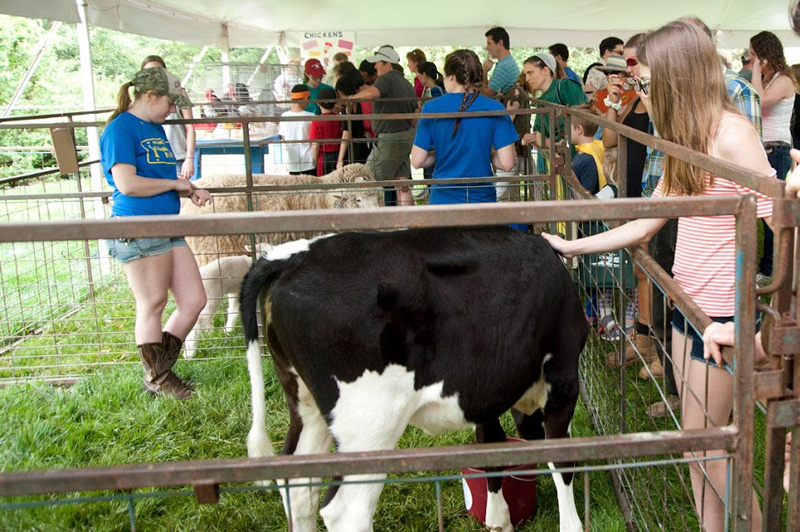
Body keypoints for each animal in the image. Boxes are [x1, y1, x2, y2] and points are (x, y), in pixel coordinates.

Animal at [239, 227, 588, 532]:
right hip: (369, 426)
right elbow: (562, 461)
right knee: (345, 511)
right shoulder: (564, 378)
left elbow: (491, 446)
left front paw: (498, 519)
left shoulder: (487, 390)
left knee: (298, 485)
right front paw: (571, 525)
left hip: (305, 403)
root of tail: (291, 256)